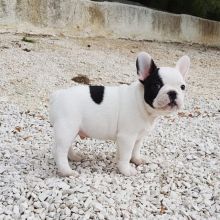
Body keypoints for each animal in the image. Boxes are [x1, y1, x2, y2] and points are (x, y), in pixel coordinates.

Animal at [49, 52, 190, 177]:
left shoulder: (138, 137)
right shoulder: (127, 137)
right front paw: (126, 170)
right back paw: (67, 171)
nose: (173, 92)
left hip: (73, 129)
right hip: (67, 128)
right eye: (156, 85)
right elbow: (126, 154)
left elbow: (135, 150)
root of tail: (58, 94)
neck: (142, 104)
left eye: (182, 87)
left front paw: (136, 160)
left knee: (68, 146)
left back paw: (74, 157)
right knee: (59, 151)